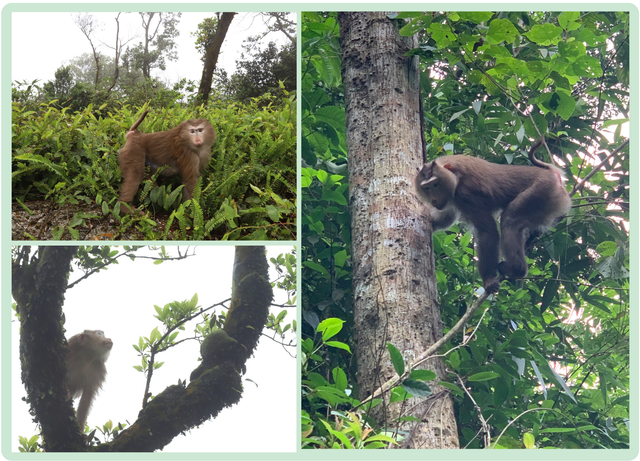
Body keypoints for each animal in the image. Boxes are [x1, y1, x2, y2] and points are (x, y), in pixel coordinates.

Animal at [418, 138, 572, 292]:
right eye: (427, 188)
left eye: (436, 184)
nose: (434, 200)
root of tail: (553, 175)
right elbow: (448, 216)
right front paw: (431, 223)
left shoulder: (466, 195)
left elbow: (488, 230)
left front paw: (488, 279)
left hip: (542, 191)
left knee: (510, 219)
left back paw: (517, 269)